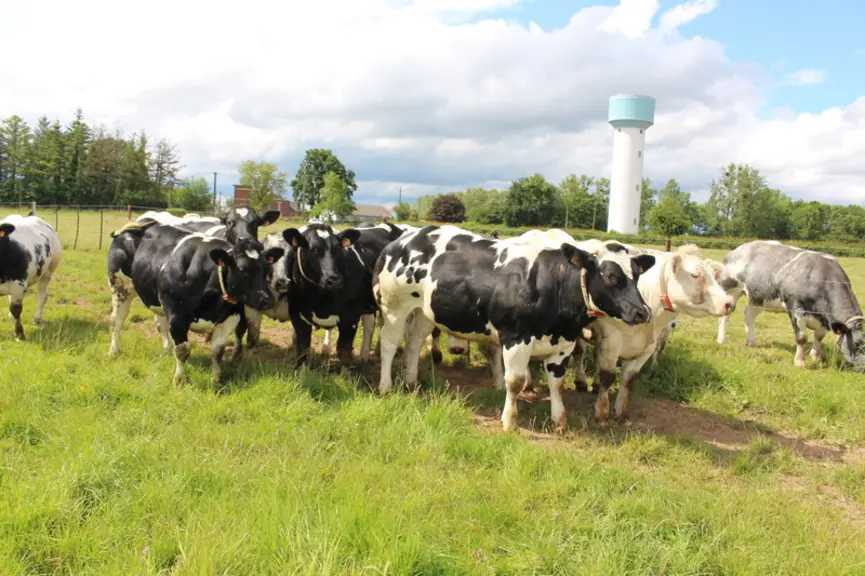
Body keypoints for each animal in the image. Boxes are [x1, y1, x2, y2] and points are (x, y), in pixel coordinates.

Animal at [133, 231, 282, 385]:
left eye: (267, 268)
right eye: (242, 269)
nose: (267, 300)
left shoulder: (231, 317)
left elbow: (218, 351)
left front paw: (216, 379)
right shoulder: (176, 317)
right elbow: (182, 350)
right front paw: (179, 380)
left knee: (160, 324)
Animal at [372, 225, 655, 432]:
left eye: (637, 275)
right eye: (611, 276)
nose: (642, 312)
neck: (555, 284)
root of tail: (405, 238)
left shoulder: (563, 345)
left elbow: (556, 384)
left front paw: (559, 420)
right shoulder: (516, 338)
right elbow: (515, 381)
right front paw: (509, 421)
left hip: (424, 310)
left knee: (413, 340)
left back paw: (411, 381)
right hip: (394, 305)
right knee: (388, 343)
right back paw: (385, 386)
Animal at [714, 240, 865, 369]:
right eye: (857, 343)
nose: (863, 368)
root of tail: (736, 250)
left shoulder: (825, 317)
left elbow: (819, 336)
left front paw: (816, 357)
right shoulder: (796, 308)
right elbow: (802, 337)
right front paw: (799, 362)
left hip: (758, 297)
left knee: (749, 315)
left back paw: (751, 342)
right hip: (731, 290)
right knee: (726, 315)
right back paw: (721, 339)